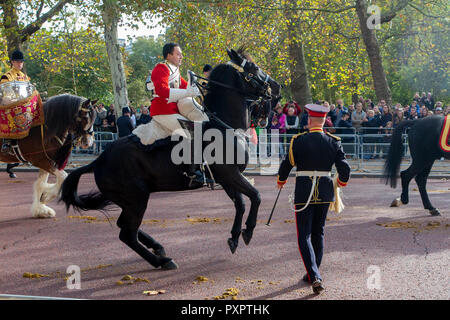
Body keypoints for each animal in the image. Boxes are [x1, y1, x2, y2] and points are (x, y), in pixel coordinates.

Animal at [0, 81, 96, 219]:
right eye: (84, 118)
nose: (88, 142)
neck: (46, 128)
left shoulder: (45, 160)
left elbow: (40, 184)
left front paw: (41, 207)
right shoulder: (40, 161)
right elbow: (63, 176)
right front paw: (46, 197)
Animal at [58, 48, 280, 270]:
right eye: (254, 68)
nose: (276, 88)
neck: (224, 126)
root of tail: (99, 160)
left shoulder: (226, 178)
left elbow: (240, 203)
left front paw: (234, 237)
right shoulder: (230, 174)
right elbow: (256, 196)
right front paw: (248, 231)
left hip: (128, 200)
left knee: (125, 226)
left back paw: (158, 247)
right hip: (137, 198)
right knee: (127, 234)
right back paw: (162, 260)